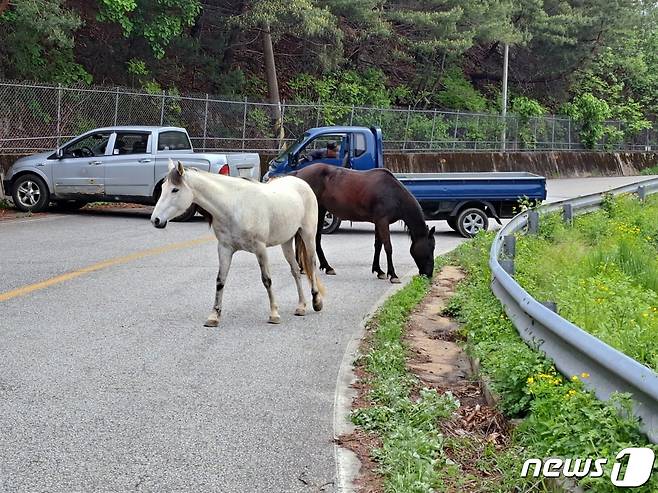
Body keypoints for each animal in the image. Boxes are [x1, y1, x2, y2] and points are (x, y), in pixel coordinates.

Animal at [149, 160, 322, 324]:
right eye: (163, 187)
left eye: (175, 190)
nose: (155, 220)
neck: (234, 207)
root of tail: (301, 183)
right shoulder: (225, 249)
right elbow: (220, 280)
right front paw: (214, 316)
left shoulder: (260, 249)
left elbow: (267, 280)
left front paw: (274, 314)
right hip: (286, 242)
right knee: (295, 270)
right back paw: (301, 306)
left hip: (308, 235)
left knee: (311, 264)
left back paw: (316, 301)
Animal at [290, 163, 434, 282]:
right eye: (430, 248)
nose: (429, 274)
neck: (393, 193)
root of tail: (298, 173)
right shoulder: (383, 222)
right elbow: (388, 247)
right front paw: (393, 275)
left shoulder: (378, 222)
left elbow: (378, 245)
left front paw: (379, 271)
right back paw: (307, 267)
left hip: (320, 210)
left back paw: (318, 267)